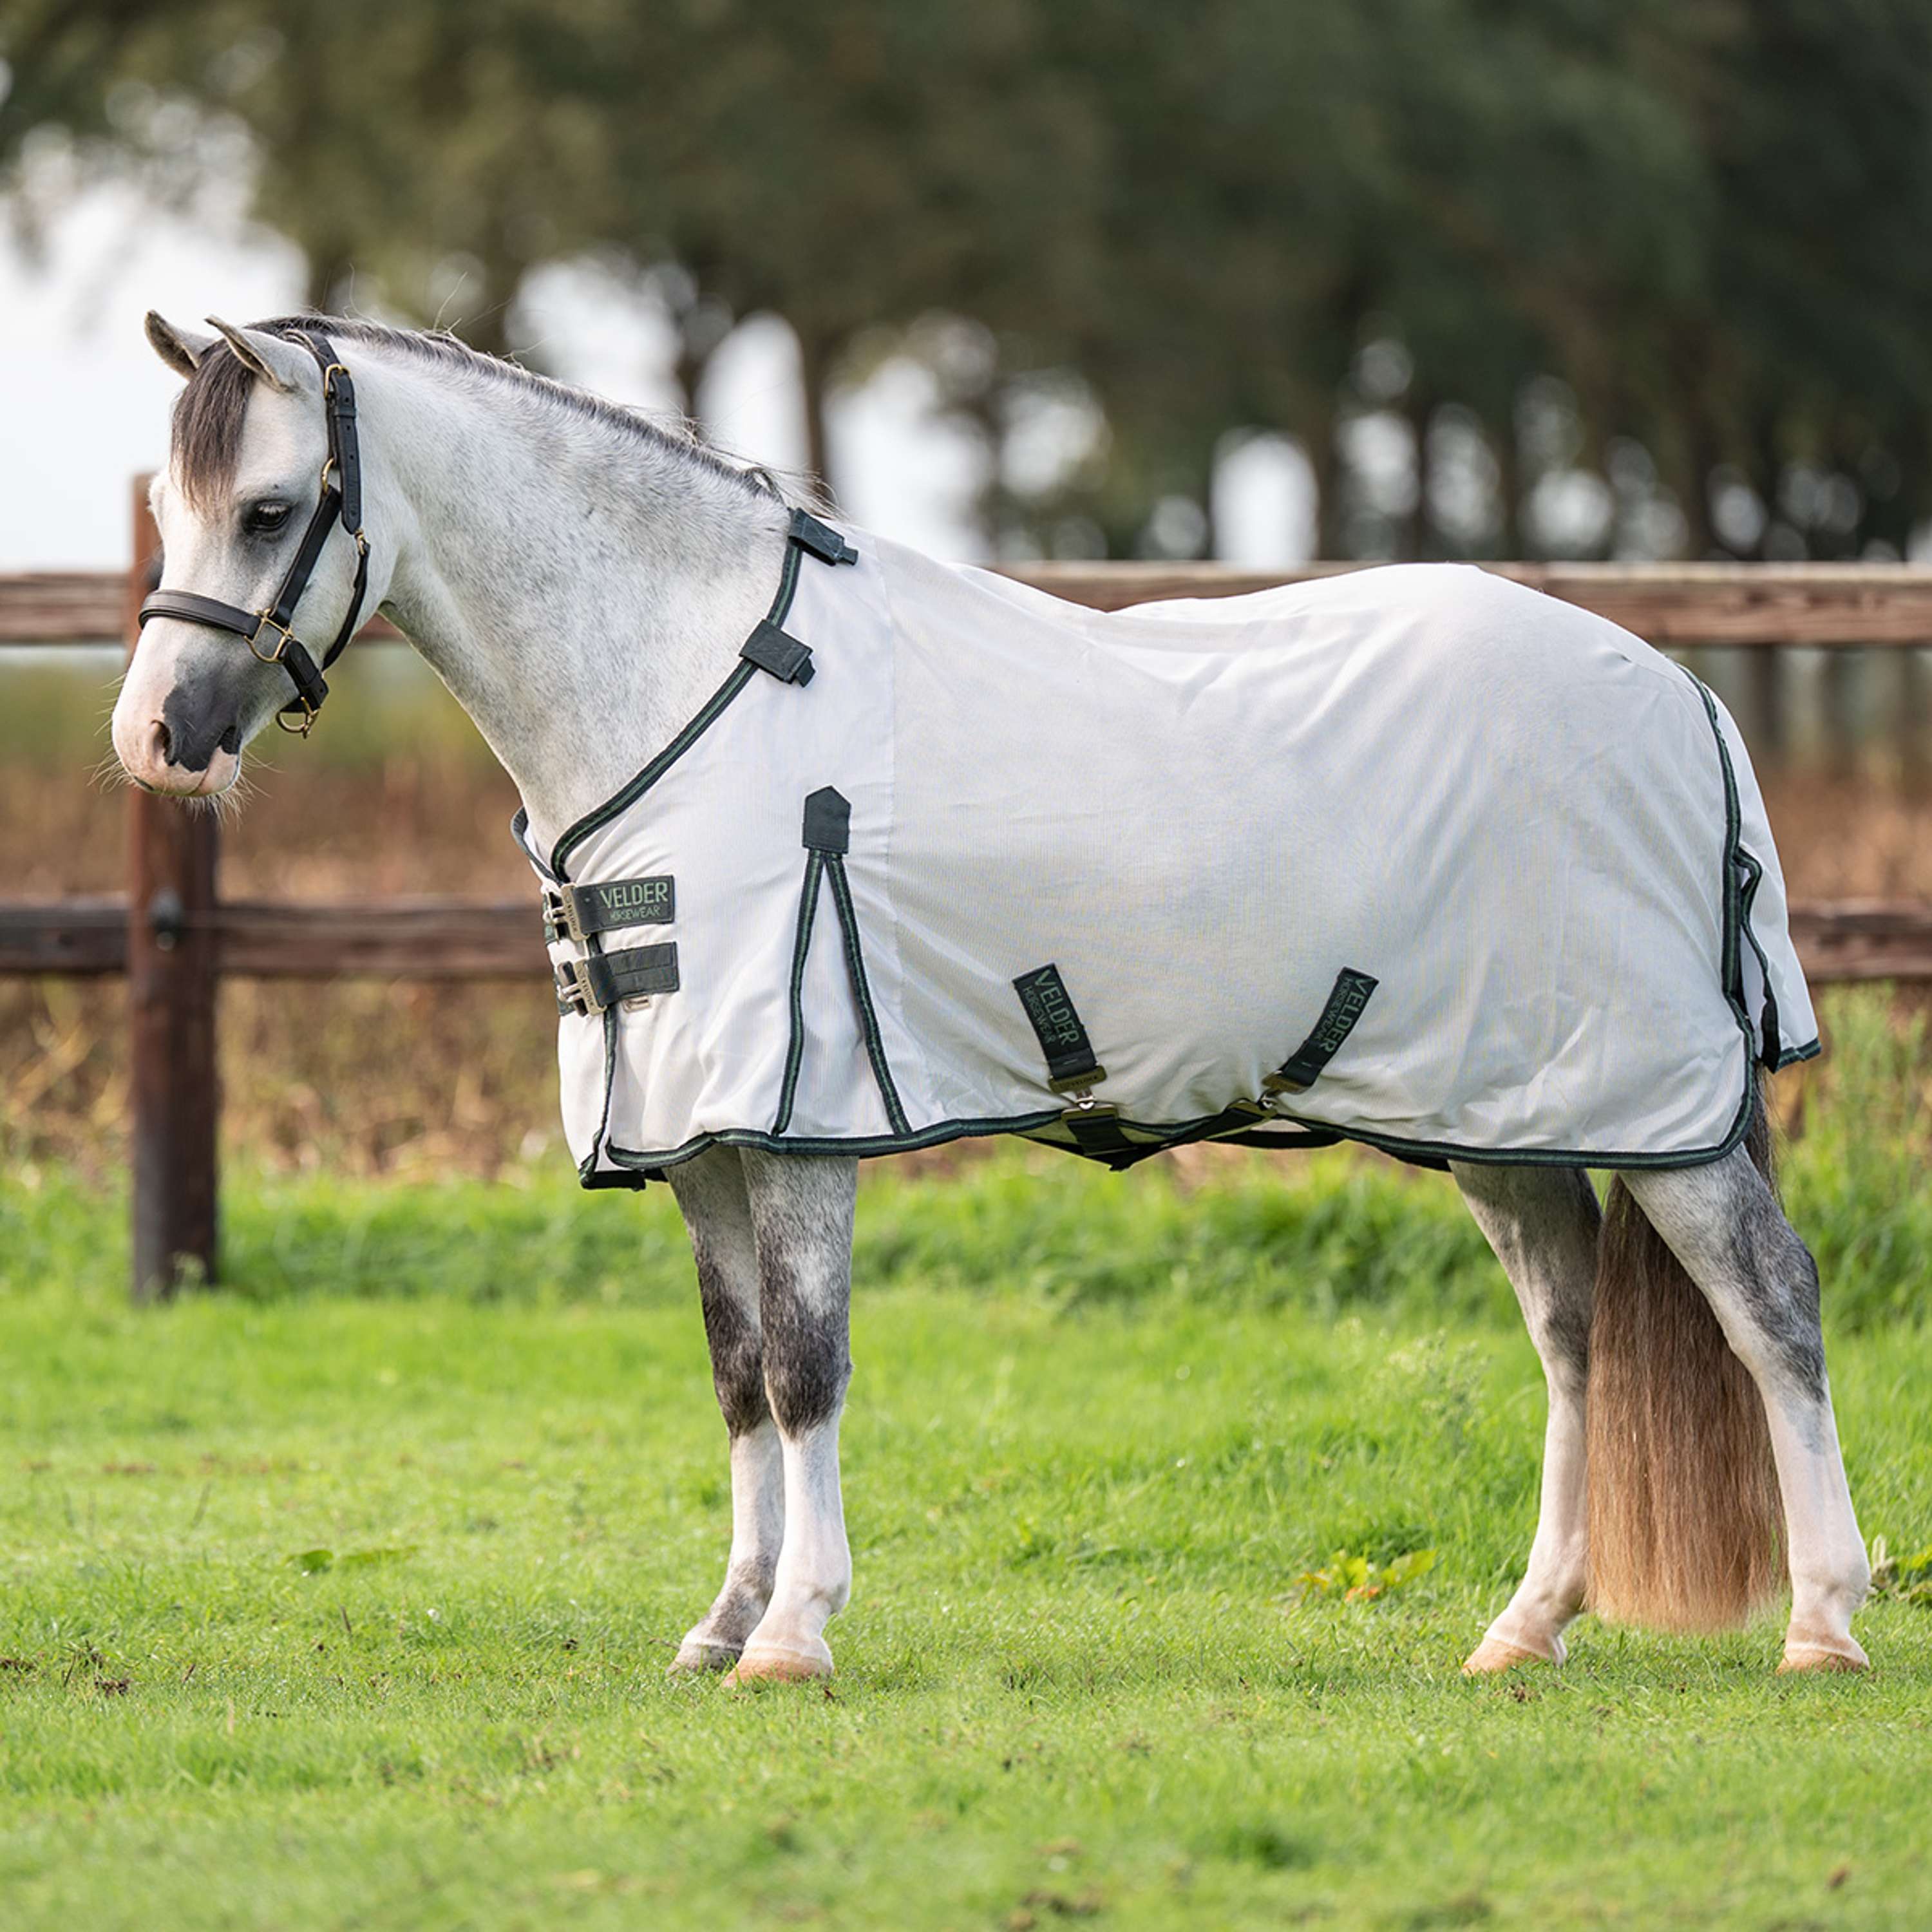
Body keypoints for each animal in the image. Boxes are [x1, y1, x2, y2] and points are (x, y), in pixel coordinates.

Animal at [112, 311, 1871, 1683]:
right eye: (173, 510)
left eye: (269, 507)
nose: (153, 740)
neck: (688, 679)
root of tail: (1679, 688)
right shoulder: (702, 1136)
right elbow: (738, 1379)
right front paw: (722, 1621)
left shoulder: (796, 1123)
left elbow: (805, 1369)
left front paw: (796, 1634)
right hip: (1508, 1118)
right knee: (1574, 1337)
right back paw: (1525, 1628)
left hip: (1657, 1111)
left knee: (1773, 1314)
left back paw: (1823, 1623)